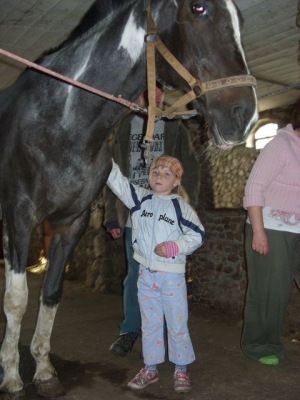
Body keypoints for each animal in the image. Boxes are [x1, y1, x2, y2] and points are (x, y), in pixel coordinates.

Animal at [0, 1, 258, 398]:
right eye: (198, 8)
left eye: (241, 19)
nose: (244, 115)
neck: (60, 120)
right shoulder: (19, 217)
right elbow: (16, 300)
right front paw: (12, 377)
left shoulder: (70, 224)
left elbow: (51, 293)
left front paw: (43, 371)